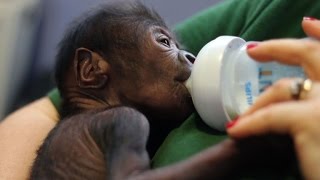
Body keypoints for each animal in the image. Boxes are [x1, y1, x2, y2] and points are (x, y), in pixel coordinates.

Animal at [30, 1, 298, 179]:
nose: (191, 57)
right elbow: (131, 176)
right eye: (165, 42)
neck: (93, 106)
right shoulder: (126, 120)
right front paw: (262, 141)